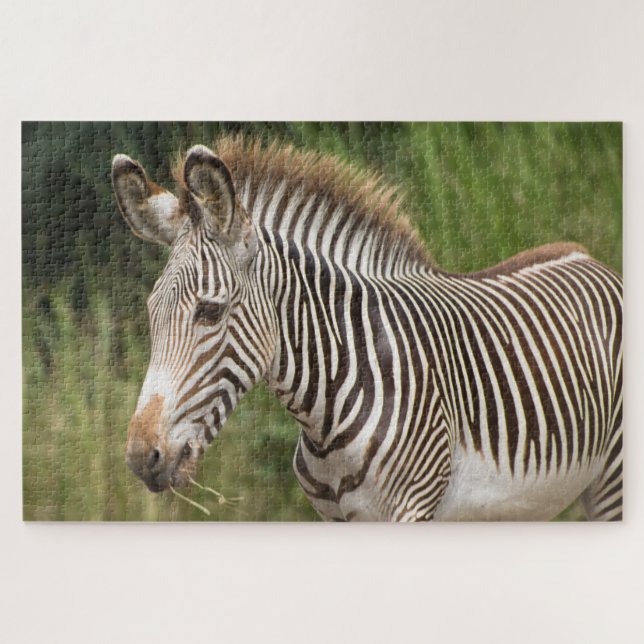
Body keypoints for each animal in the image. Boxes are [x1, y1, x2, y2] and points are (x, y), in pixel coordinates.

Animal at [112, 137, 622, 521]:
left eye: (210, 312)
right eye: (151, 314)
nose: (140, 457)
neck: (327, 417)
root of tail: (590, 260)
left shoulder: (413, 509)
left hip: (613, 478)